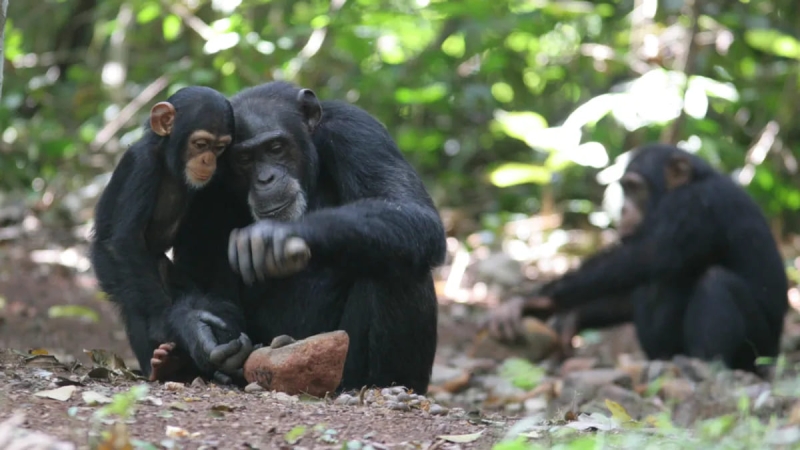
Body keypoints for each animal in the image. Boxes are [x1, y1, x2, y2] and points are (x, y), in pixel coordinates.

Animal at [90, 86, 250, 382]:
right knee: (132, 295)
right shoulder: (141, 166)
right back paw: (162, 364)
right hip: (107, 266)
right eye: (201, 144)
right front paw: (179, 324)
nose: (208, 160)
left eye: (220, 148)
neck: (169, 162)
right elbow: (127, 240)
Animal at [165, 81, 446, 394]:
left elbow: (410, 208)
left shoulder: (358, 132)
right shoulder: (202, 177)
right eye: (244, 159)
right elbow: (196, 279)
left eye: (276, 148)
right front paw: (199, 330)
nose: (266, 179)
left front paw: (274, 236)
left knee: (399, 262)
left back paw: (388, 384)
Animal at [488, 143, 788, 372]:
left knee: (715, 280)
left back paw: (702, 366)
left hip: (759, 353)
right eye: (625, 188)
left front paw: (534, 300)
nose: (624, 209)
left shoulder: (696, 205)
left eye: (635, 187)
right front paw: (569, 316)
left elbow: (648, 255)